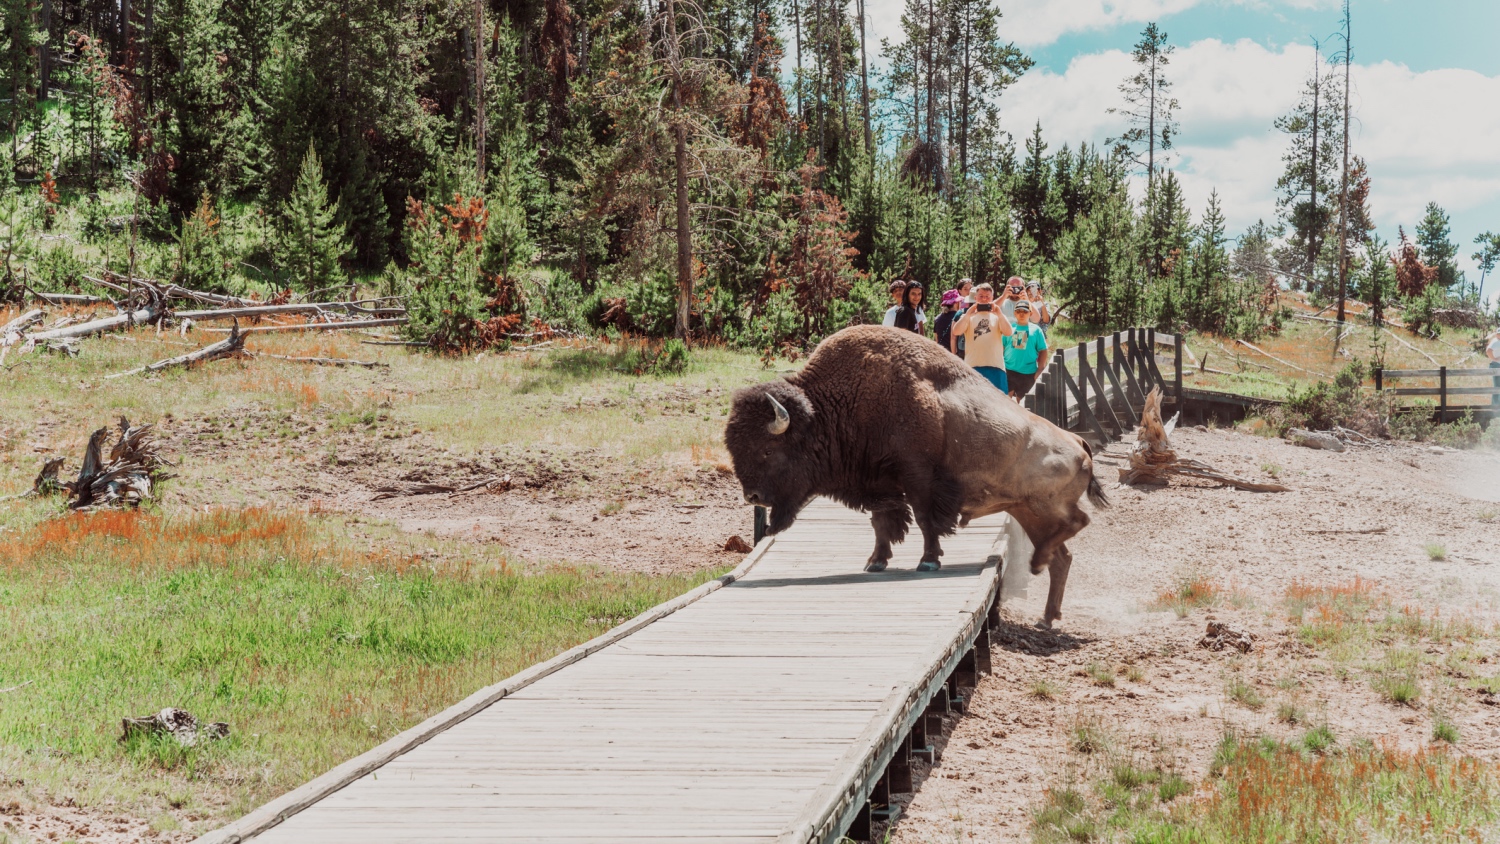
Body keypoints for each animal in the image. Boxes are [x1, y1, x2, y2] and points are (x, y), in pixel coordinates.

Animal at [724, 325, 1107, 628]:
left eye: (767, 450)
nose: (752, 496)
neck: (829, 410)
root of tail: (1077, 442)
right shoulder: (879, 485)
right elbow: (882, 523)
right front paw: (875, 562)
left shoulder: (919, 478)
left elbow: (925, 519)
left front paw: (928, 561)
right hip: (1029, 512)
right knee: (1062, 555)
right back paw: (1047, 613)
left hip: (1043, 506)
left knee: (1078, 524)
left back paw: (1039, 570)